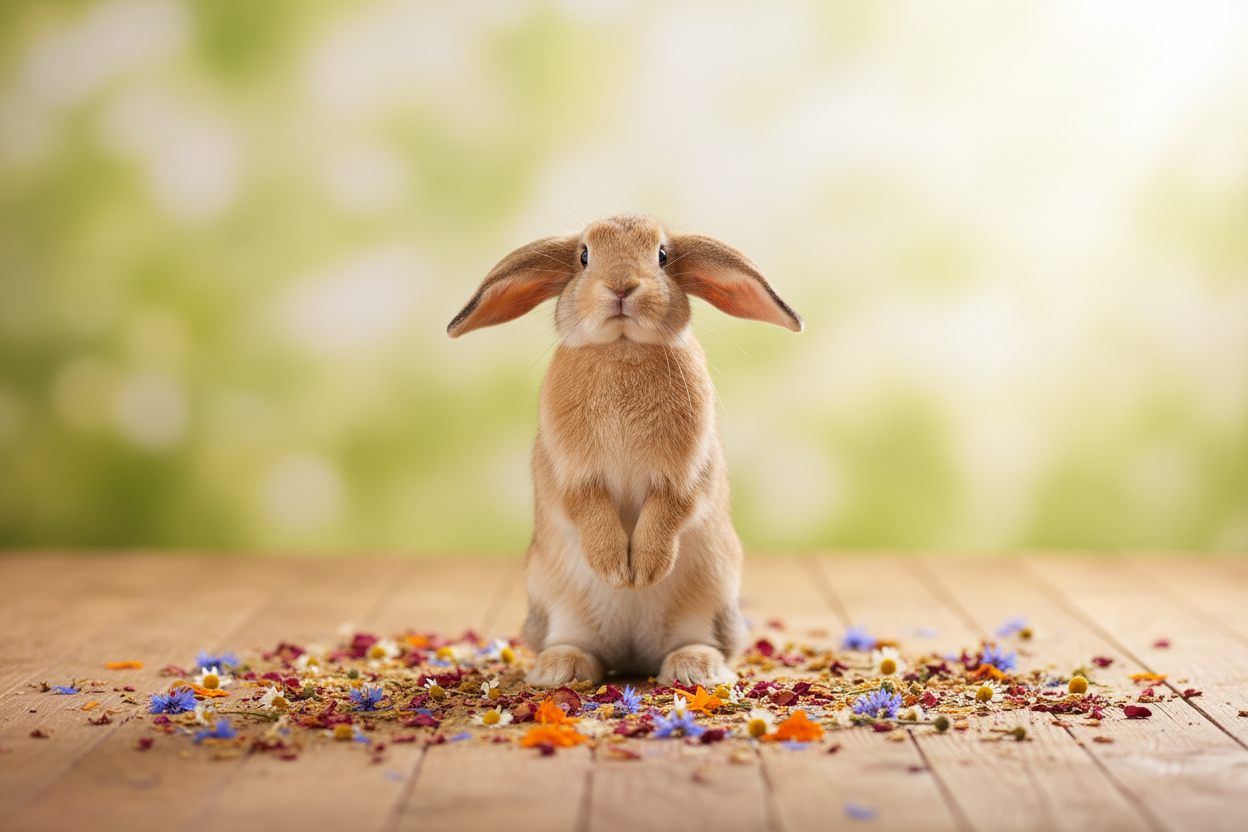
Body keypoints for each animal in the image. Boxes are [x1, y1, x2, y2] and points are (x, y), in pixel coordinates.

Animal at [448, 214, 802, 687]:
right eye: (583, 256)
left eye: (663, 256)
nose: (620, 286)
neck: (622, 346)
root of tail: (632, 654)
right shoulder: (570, 474)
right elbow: (588, 507)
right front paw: (616, 570)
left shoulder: (687, 472)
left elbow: (669, 509)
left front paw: (644, 570)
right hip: (555, 605)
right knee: (577, 646)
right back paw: (561, 670)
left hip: (714, 602)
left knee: (699, 643)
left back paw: (695, 669)